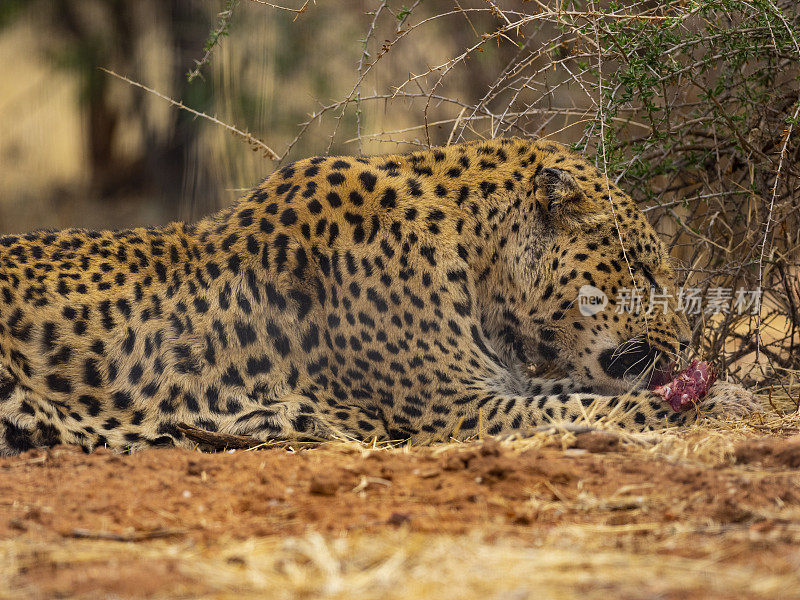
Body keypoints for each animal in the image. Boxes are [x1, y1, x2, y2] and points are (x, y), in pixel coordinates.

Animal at [0, 136, 760, 454]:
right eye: (641, 269)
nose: (688, 342)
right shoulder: (457, 409)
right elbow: (596, 403)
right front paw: (698, 403)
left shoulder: (492, 385)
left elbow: (586, 391)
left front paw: (730, 392)